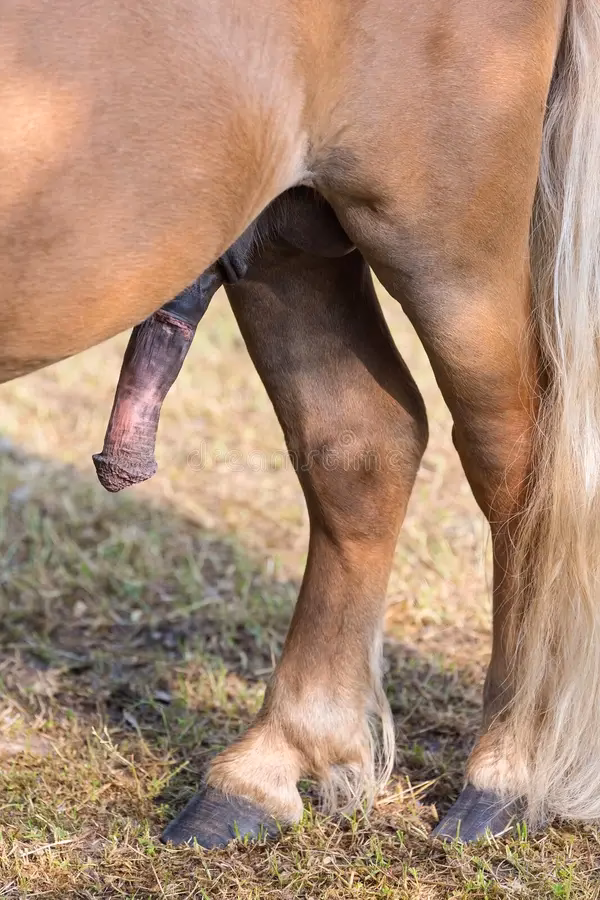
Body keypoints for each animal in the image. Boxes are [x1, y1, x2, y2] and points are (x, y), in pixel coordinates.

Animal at [1, 0, 599, 847]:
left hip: (444, 231)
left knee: (518, 458)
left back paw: (507, 771)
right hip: (287, 226)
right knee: (361, 442)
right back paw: (265, 769)